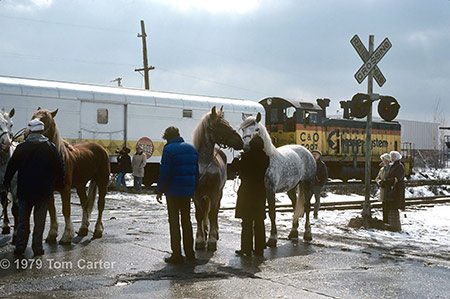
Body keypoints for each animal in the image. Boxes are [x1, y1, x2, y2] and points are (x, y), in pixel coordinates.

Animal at [31, 109, 110, 245]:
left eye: (44, 119)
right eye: (33, 116)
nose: (28, 132)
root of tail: (101, 149)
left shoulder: (65, 189)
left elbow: (66, 210)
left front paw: (66, 236)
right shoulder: (49, 190)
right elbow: (52, 210)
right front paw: (52, 235)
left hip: (102, 183)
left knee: (100, 205)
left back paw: (98, 230)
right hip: (81, 185)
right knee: (85, 204)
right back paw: (83, 229)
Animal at [192, 106, 244, 252]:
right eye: (221, 125)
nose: (240, 141)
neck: (204, 164)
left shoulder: (214, 193)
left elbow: (213, 214)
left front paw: (211, 240)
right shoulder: (196, 195)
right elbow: (199, 215)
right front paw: (200, 239)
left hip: (219, 193)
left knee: (213, 213)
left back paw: (214, 233)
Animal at [239, 112, 316, 246]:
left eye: (257, 129)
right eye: (243, 129)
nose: (246, 147)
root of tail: (307, 152)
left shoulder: (270, 191)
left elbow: (272, 213)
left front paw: (272, 238)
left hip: (307, 184)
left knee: (307, 207)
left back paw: (307, 234)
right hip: (292, 187)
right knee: (295, 205)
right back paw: (293, 232)